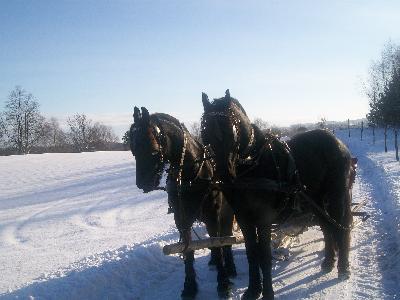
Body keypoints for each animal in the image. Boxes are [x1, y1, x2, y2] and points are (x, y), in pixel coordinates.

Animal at [128, 107, 236, 298]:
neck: (191, 175)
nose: (142, 183)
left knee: (226, 237)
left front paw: (223, 283)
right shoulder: (181, 219)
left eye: (153, 150)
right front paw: (189, 286)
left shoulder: (213, 215)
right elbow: (188, 249)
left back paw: (229, 266)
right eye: (133, 149)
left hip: (227, 212)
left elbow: (217, 244)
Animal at [200, 91, 354, 300]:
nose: (224, 175)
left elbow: (264, 256)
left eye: (231, 131)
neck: (252, 165)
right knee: (326, 227)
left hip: (337, 196)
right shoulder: (244, 219)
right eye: (205, 133)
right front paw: (253, 290)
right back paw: (329, 262)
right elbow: (252, 254)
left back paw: (343, 267)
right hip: (316, 201)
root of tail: (338, 143)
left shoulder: (264, 219)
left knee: (340, 226)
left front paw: (267, 293)